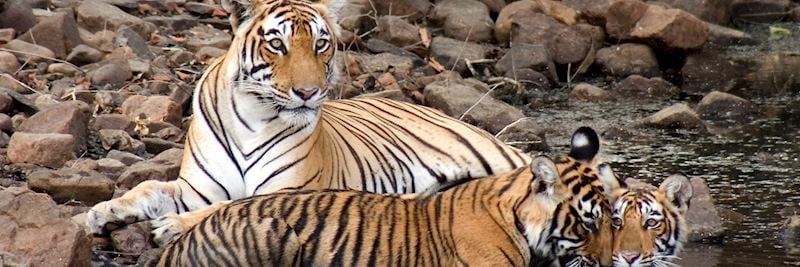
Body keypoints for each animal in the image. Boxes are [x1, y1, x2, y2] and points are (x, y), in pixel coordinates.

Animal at [86, 0, 524, 239]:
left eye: (321, 44)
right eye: (276, 44)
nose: (309, 92)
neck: (252, 117)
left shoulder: (288, 192)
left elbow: (231, 207)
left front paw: (173, 225)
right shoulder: (198, 186)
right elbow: (147, 188)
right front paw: (101, 212)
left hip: (496, 157)